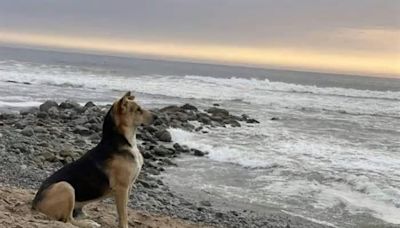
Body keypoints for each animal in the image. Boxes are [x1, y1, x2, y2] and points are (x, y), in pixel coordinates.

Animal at [31, 91, 155, 227]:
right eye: (138, 110)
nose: (156, 117)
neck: (122, 141)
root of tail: (34, 204)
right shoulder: (122, 188)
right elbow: (123, 214)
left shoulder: (128, 187)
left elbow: (124, 211)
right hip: (66, 186)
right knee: (68, 220)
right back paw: (88, 223)